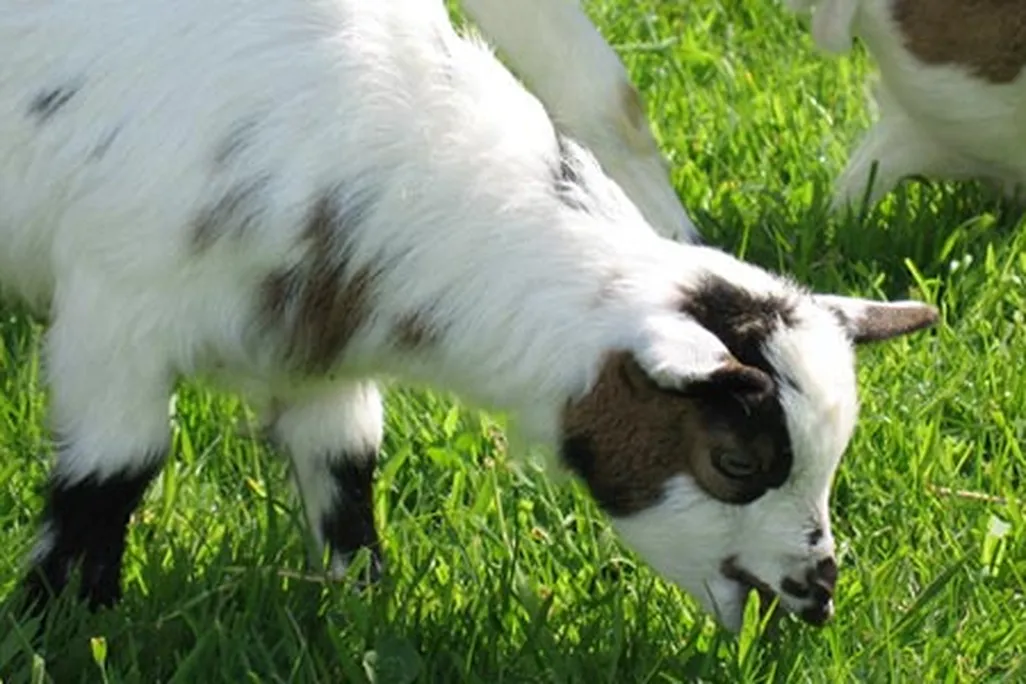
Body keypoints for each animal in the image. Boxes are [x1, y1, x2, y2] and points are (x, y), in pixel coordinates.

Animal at [0, 0, 937, 632]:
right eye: (736, 461)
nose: (817, 595)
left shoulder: (318, 357)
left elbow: (346, 468)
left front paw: (361, 602)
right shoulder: (116, 317)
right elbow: (112, 473)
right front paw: (59, 620)